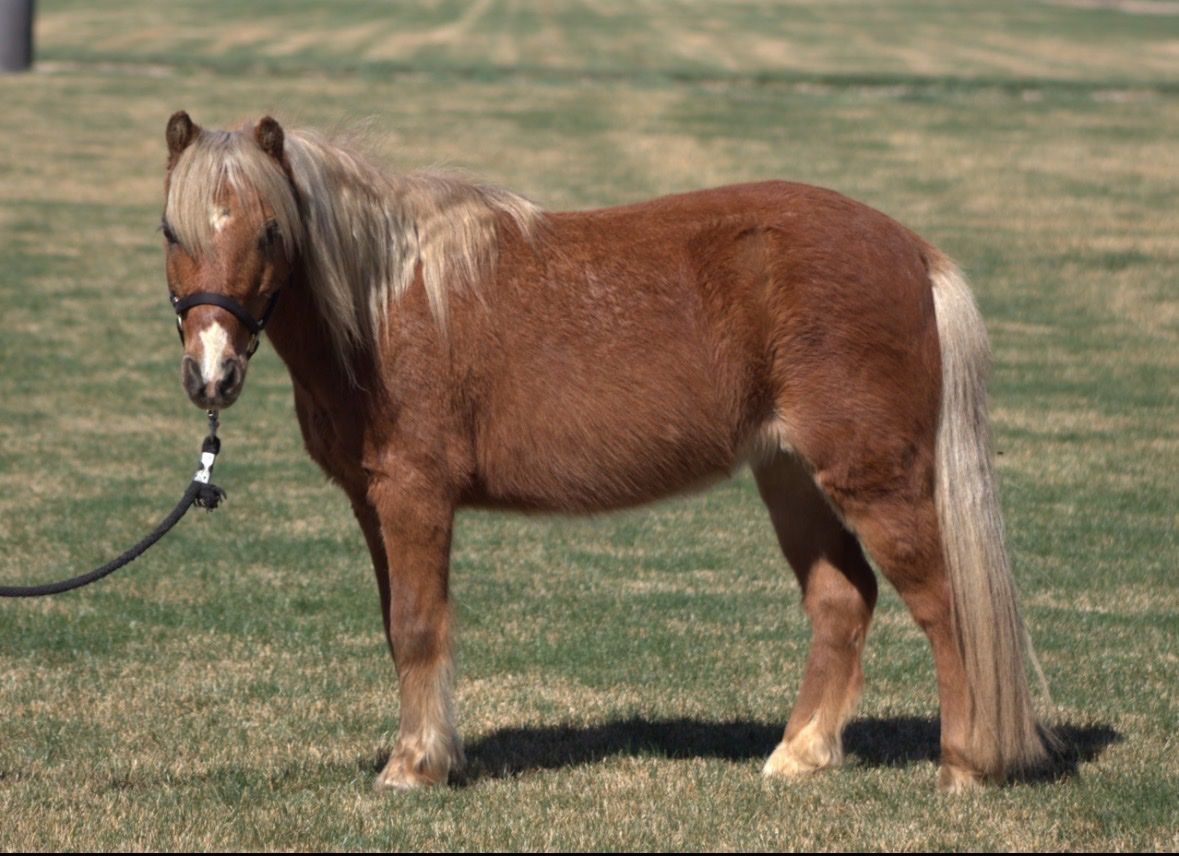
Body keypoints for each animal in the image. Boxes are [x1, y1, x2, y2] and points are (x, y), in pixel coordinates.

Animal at [160, 111, 1049, 792]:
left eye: (272, 230)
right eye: (171, 231)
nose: (211, 375)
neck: (391, 301)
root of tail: (909, 249)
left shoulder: (414, 497)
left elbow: (417, 625)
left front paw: (413, 769)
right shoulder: (371, 502)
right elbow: (395, 624)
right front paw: (427, 755)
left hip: (874, 480)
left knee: (942, 606)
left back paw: (963, 768)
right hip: (791, 478)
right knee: (842, 599)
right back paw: (798, 756)